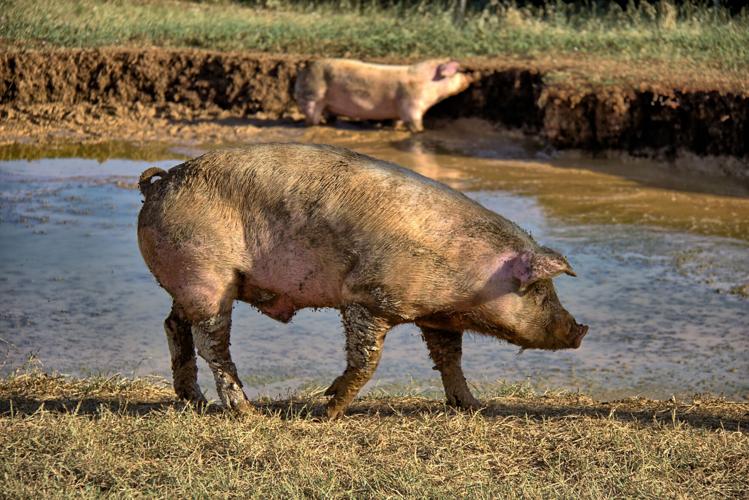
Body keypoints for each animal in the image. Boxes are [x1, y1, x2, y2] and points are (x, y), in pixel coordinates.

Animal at [137, 144, 588, 419]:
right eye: (539, 288)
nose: (580, 329)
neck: (465, 277)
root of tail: (160, 182)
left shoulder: (435, 316)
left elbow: (450, 360)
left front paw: (472, 406)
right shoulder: (370, 299)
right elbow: (367, 360)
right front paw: (328, 411)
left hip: (188, 282)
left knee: (174, 325)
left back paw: (193, 400)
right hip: (207, 277)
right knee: (213, 343)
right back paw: (245, 411)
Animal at [294, 58, 471, 132]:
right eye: (460, 71)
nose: (471, 78)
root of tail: (303, 69)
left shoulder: (399, 110)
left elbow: (397, 122)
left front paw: (393, 127)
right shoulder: (411, 104)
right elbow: (415, 123)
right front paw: (420, 131)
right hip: (312, 96)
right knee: (311, 117)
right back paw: (317, 124)